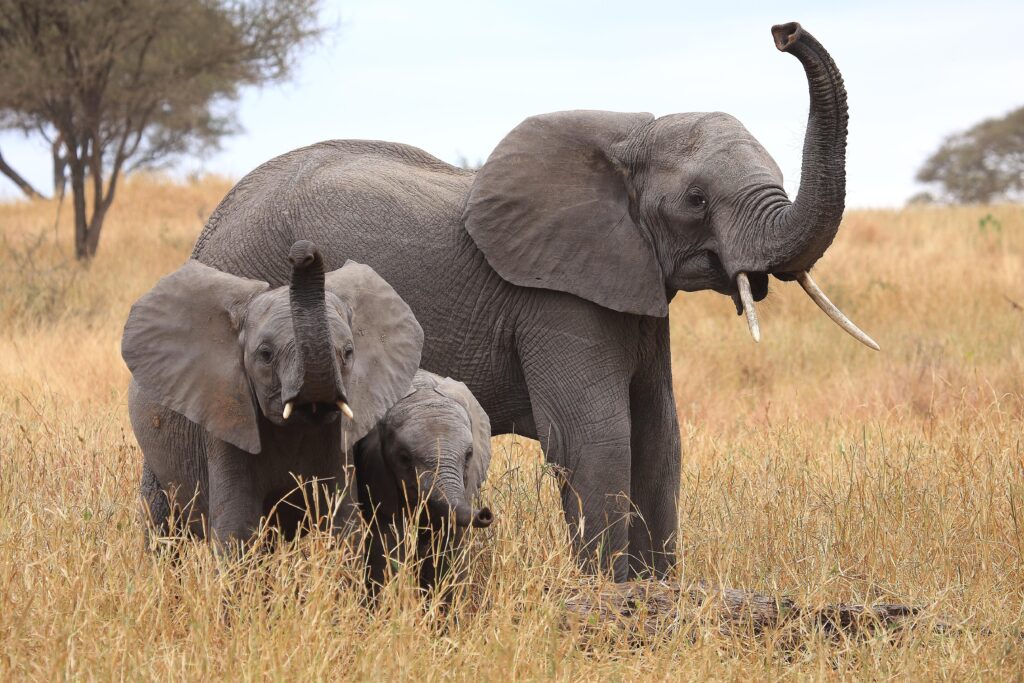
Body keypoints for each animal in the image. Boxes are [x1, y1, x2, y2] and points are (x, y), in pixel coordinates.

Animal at [121, 240, 423, 550]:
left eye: (348, 352)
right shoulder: (226, 417)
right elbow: (237, 528)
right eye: (265, 355)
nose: (302, 252)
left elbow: (342, 523)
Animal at [355, 370, 494, 594]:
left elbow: (449, 548)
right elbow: (387, 547)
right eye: (404, 458)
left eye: (469, 454)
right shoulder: (377, 477)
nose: (485, 514)